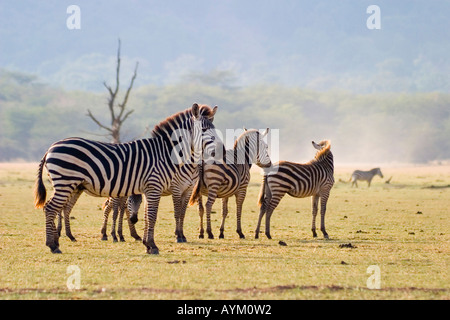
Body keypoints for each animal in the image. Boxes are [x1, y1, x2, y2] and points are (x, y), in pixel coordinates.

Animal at [33, 104, 220, 254]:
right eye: (204, 130)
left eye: (214, 128)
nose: (219, 149)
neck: (166, 154)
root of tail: (51, 147)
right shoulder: (156, 186)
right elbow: (153, 216)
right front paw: (153, 246)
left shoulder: (149, 189)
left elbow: (147, 216)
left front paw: (146, 244)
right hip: (65, 182)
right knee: (51, 208)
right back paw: (53, 245)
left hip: (68, 185)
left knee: (56, 208)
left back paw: (57, 241)